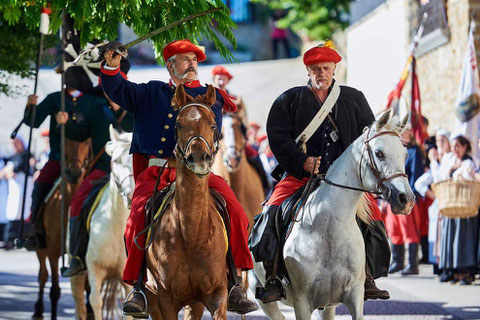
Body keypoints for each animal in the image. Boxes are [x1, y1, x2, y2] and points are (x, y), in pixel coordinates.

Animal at [33, 138, 91, 320]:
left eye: (87, 142)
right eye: (65, 141)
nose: (74, 172)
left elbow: (88, 287)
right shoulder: (52, 249)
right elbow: (54, 290)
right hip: (41, 249)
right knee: (42, 276)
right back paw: (38, 310)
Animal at [145, 85, 230, 320]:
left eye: (212, 124)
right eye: (179, 124)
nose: (199, 158)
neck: (191, 233)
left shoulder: (217, 293)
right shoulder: (165, 300)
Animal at [253, 110, 414, 320]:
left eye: (404, 154)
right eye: (379, 153)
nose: (406, 199)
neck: (330, 228)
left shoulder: (354, 296)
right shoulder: (302, 303)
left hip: (327, 306)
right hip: (265, 300)